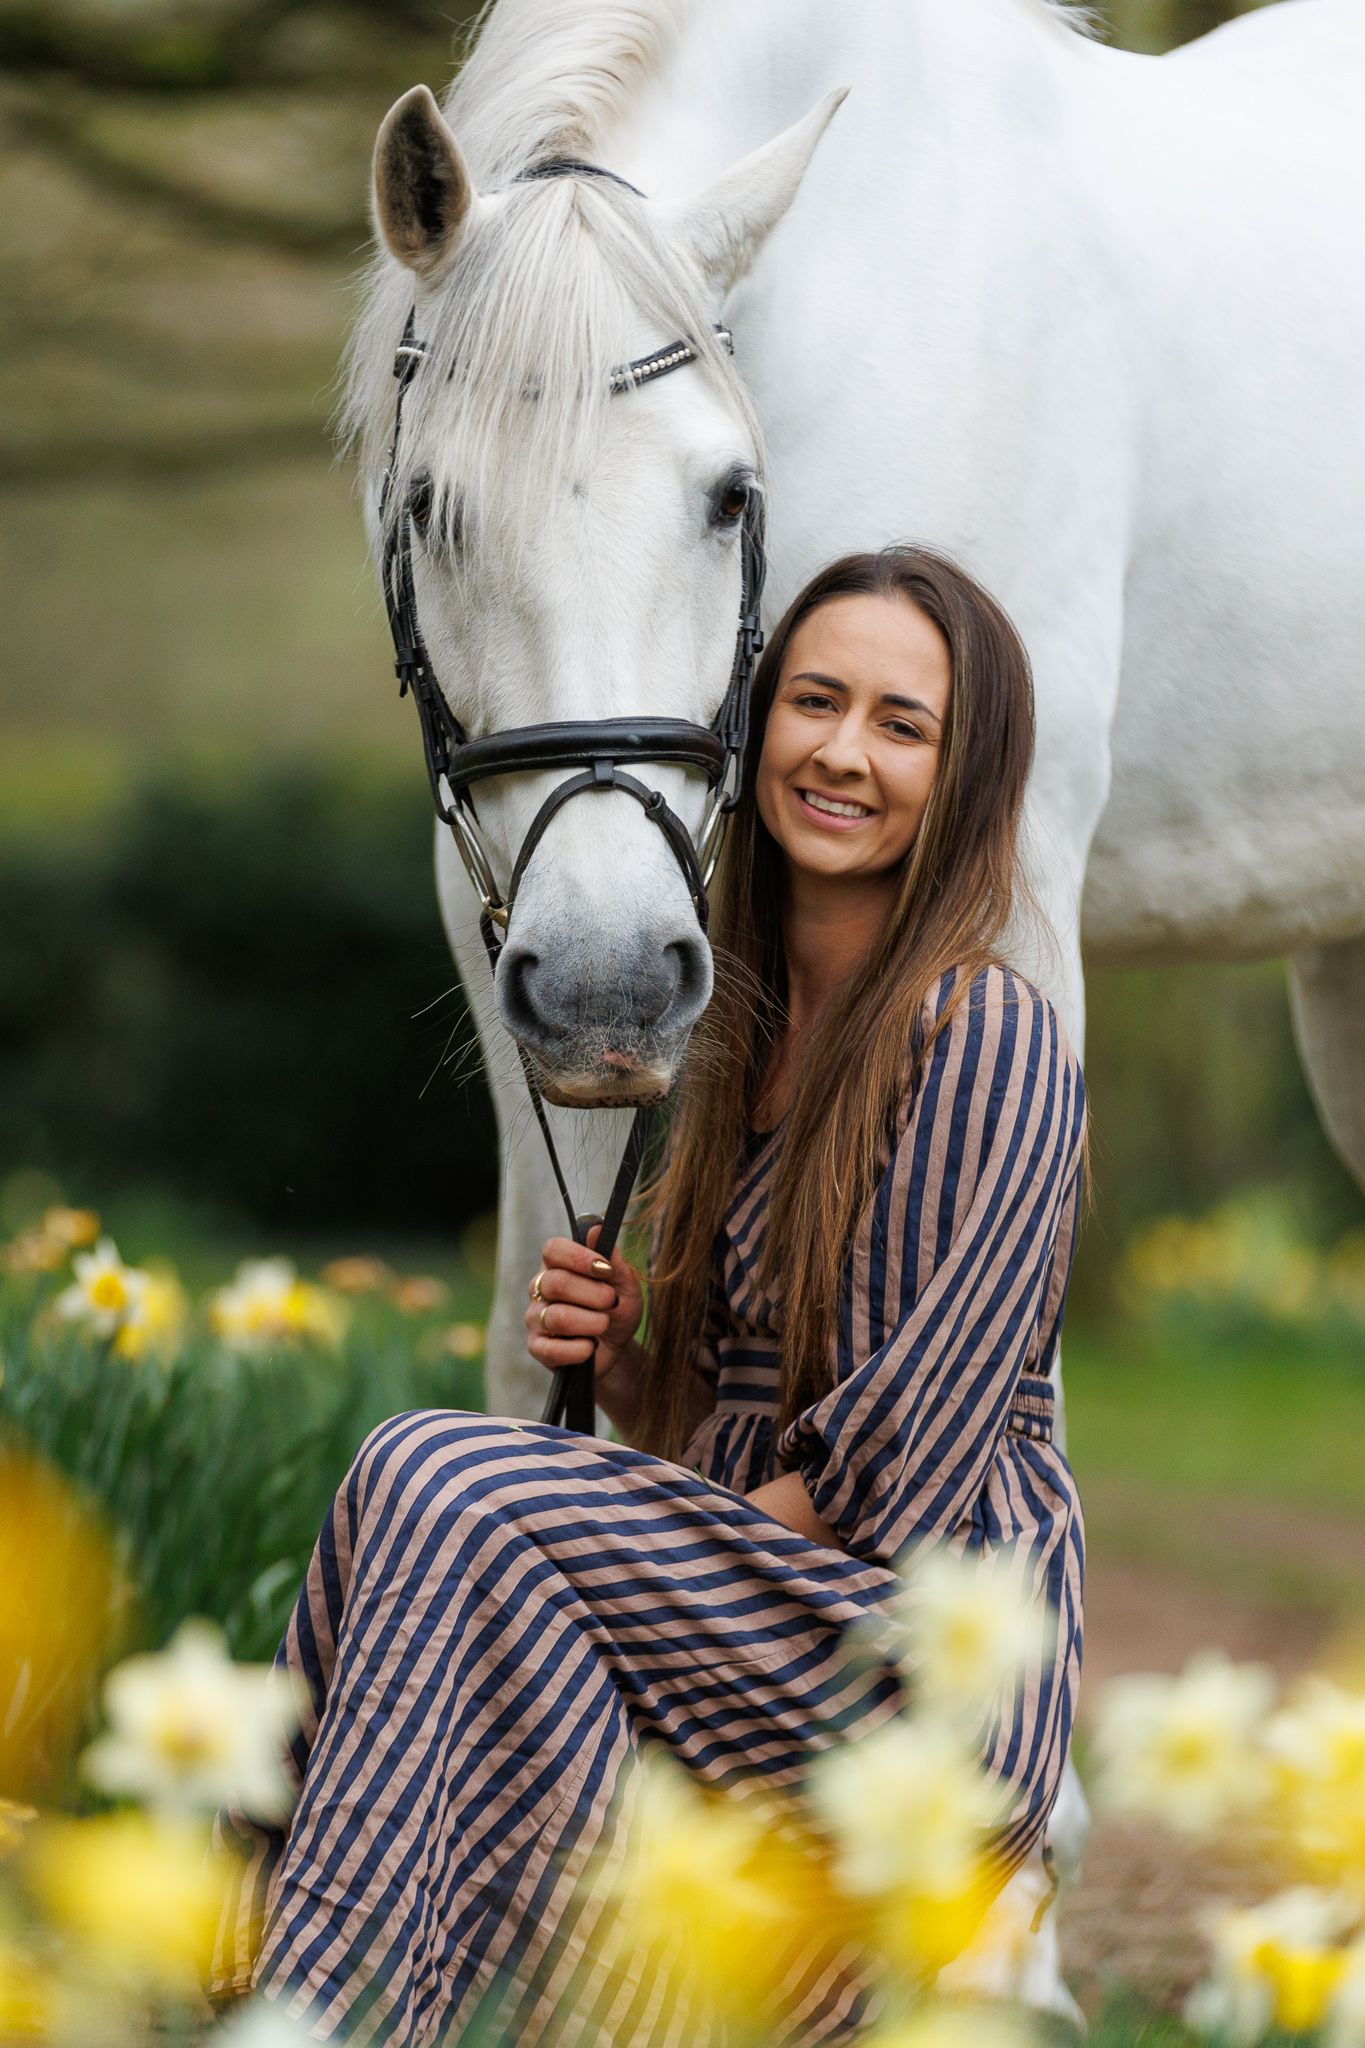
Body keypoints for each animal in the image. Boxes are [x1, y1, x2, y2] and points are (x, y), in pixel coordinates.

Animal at [343, 0, 1365, 2009]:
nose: (608, 979)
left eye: (726, 498)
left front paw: (1005, 1940)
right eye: (430, 504)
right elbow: (525, 1361)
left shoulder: (1011, 905)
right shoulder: (511, 931)